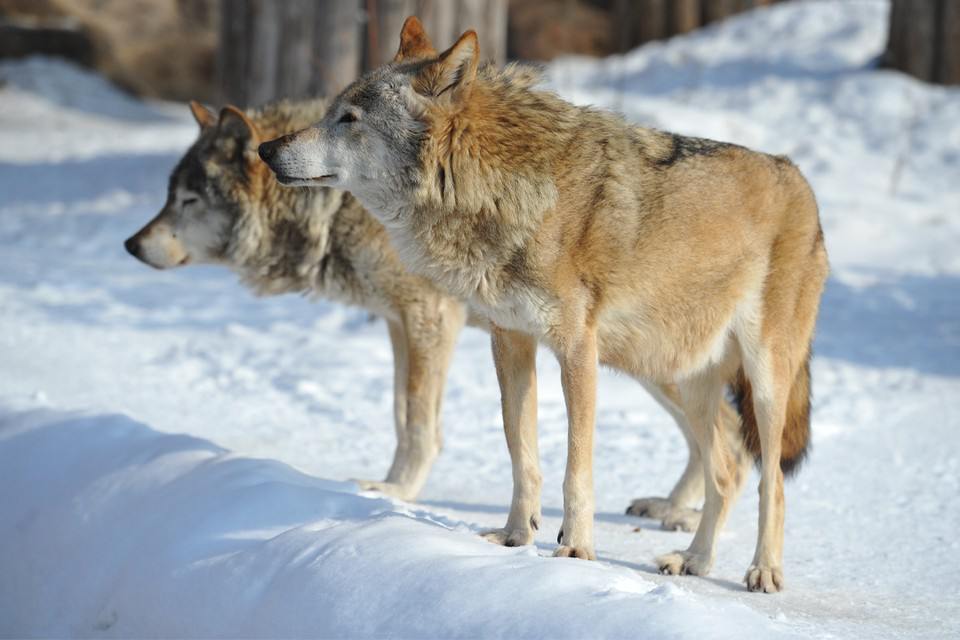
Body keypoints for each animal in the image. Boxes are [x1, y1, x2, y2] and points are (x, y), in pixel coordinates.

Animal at [124, 96, 752, 524]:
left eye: (188, 200)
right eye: (167, 196)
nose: (130, 244)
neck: (337, 207)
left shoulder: (430, 318)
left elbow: (420, 421)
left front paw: (398, 492)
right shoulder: (397, 324)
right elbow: (401, 415)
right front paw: (384, 484)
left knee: (729, 437)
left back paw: (683, 518)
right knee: (718, 435)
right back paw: (673, 510)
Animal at [258, 17, 828, 592]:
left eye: (349, 119)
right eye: (330, 111)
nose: (265, 150)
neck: (495, 187)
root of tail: (800, 179)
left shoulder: (575, 350)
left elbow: (576, 467)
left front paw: (575, 550)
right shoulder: (510, 343)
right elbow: (521, 454)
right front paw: (514, 538)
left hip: (762, 381)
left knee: (772, 481)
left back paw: (763, 570)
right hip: (677, 374)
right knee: (727, 469)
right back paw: (694, 560)